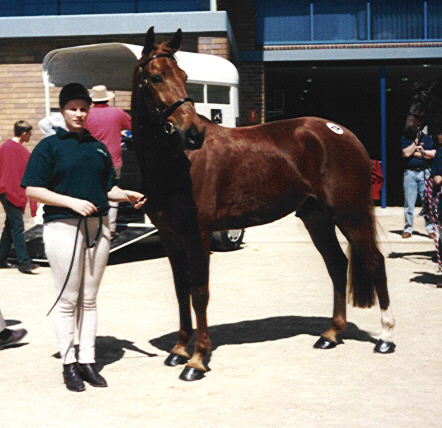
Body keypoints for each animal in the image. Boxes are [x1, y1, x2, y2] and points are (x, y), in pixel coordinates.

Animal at [131, 27, 398, 382]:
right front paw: (178, 351)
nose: (194, 133)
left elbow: (199, 292)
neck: (177, 161)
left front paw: (197, 360)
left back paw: (385, 338)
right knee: (337, 264)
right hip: (316, 217)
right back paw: (330, 334)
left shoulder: (197, 234)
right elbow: (181, 290)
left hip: (349, 214)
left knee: (374, 262)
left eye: (185, 76)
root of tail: (341, 133)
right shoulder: (171, 236)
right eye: (156, 77)